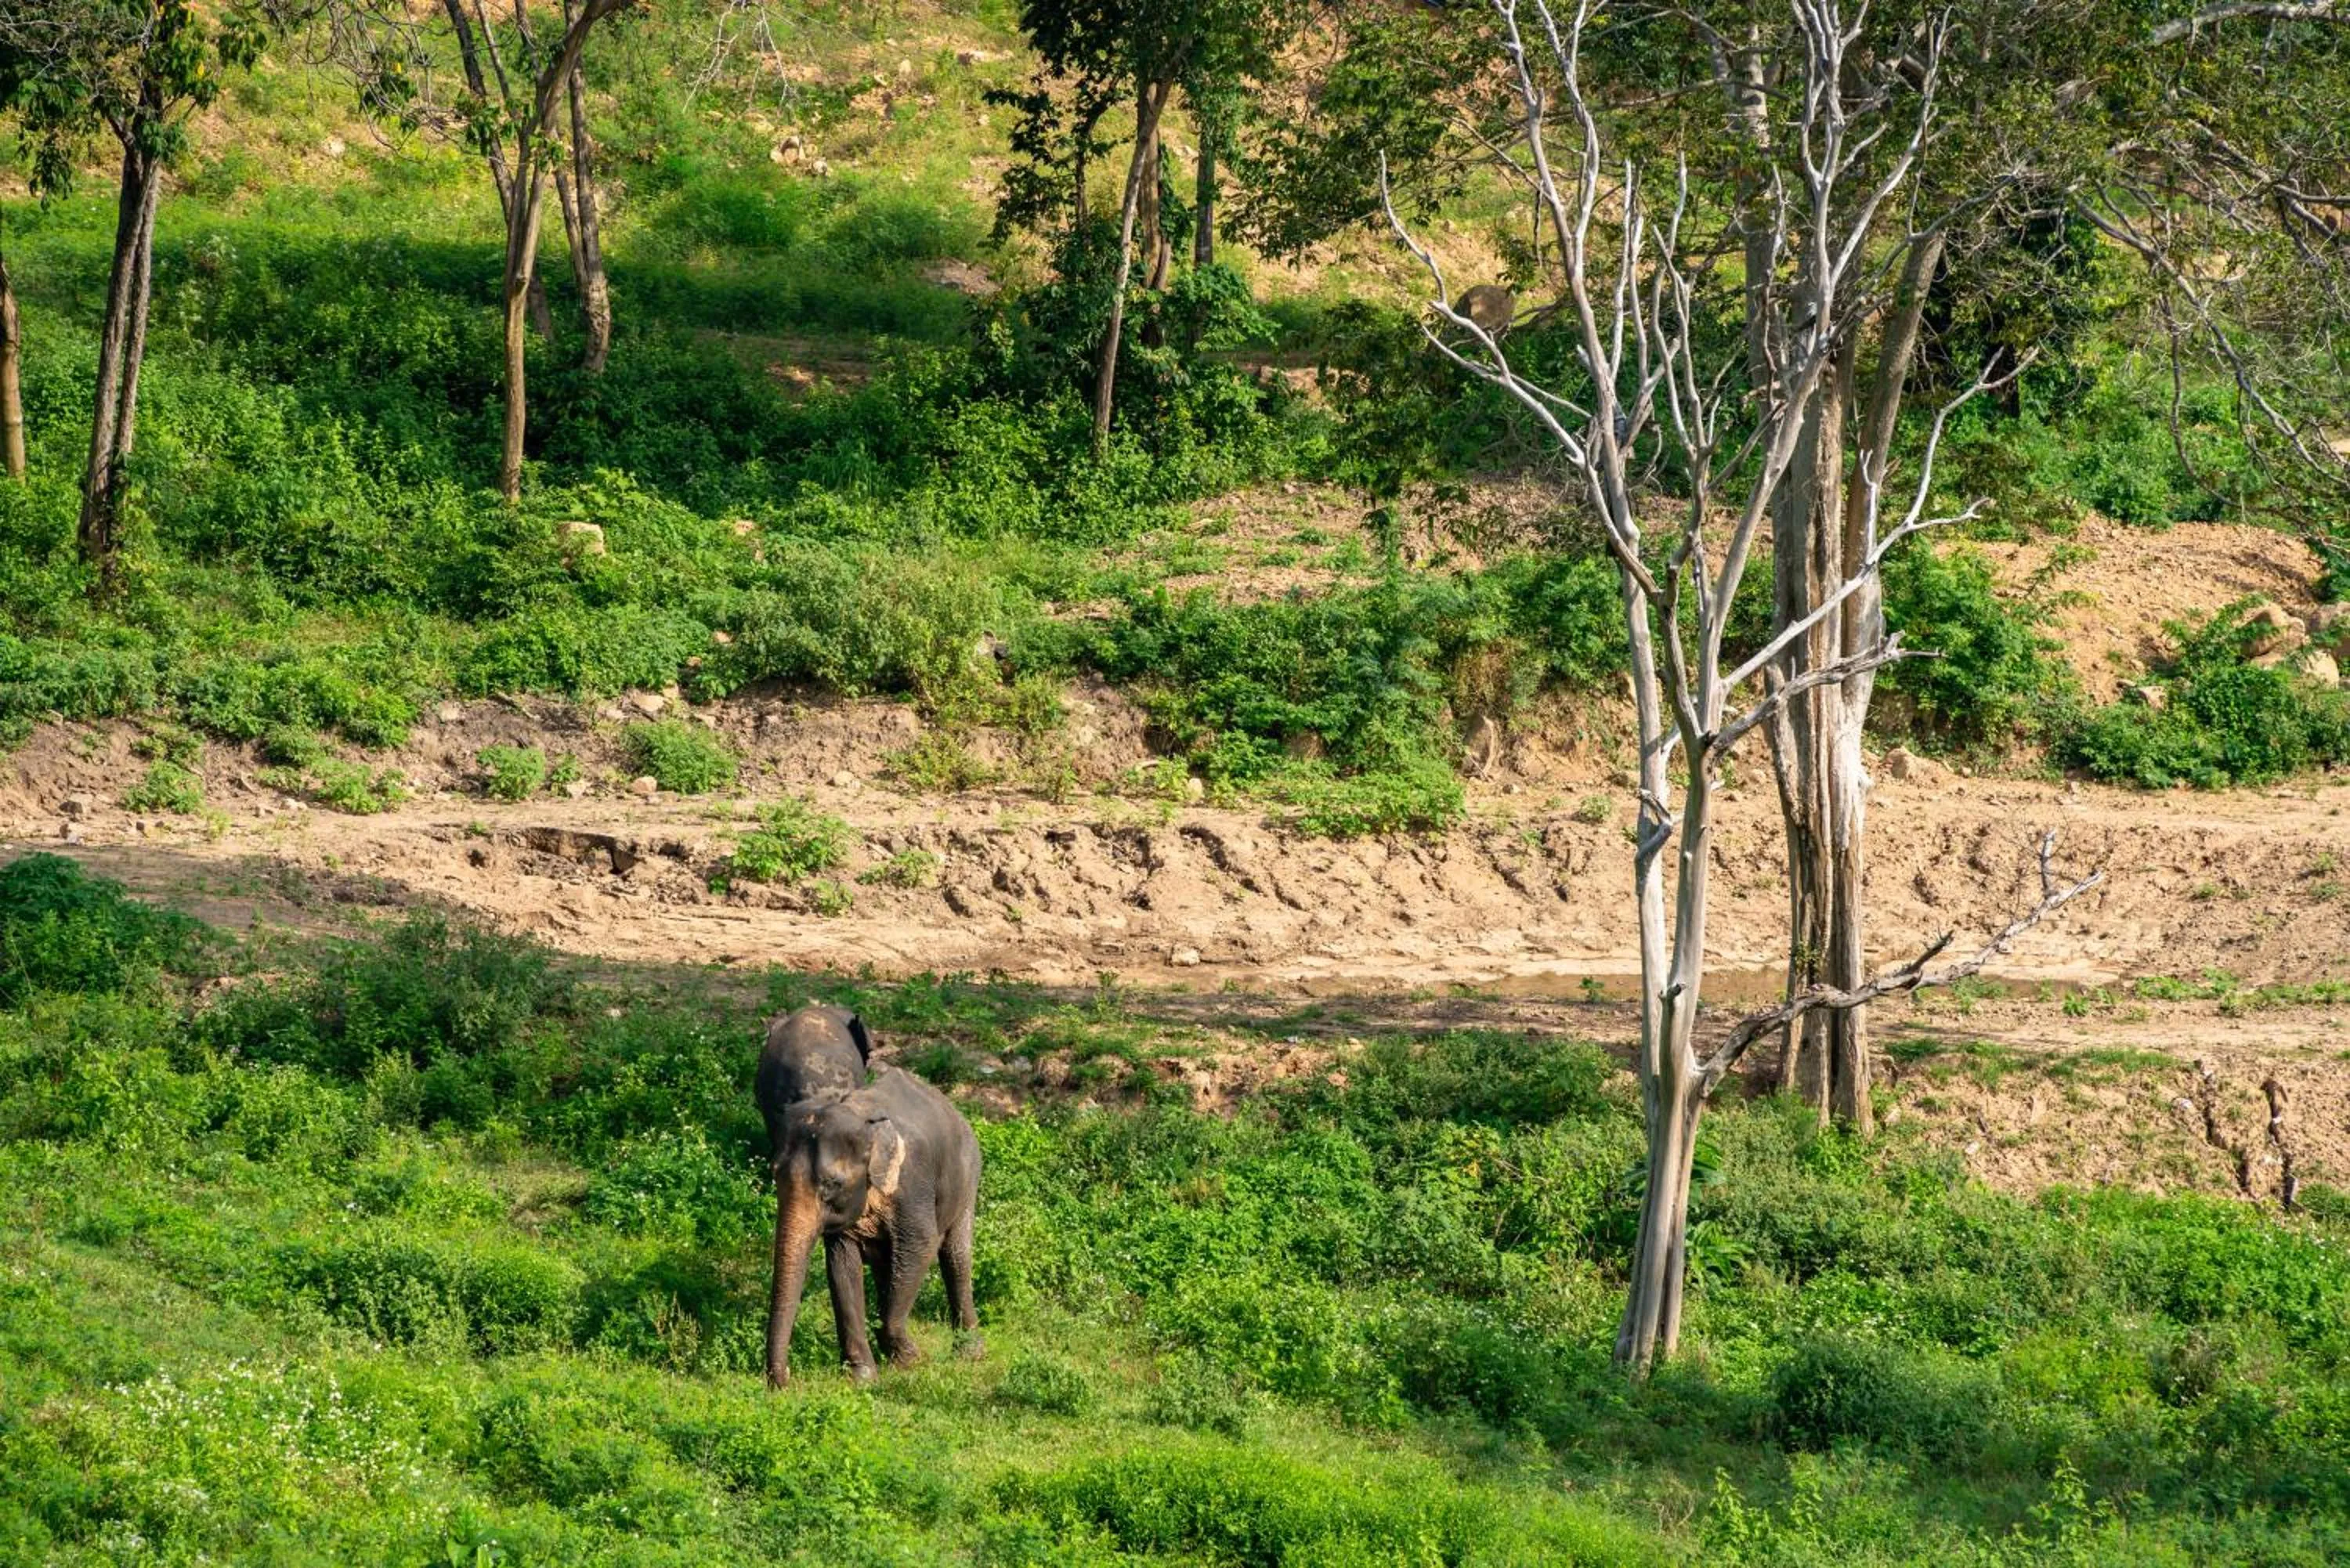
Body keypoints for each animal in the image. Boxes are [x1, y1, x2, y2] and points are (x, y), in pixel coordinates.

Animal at [764, 1062, 982, 1387]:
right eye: (775, 1174)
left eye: (832, 1184)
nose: (785, 1382)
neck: (858, 1114)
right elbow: (842, 1267)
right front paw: (864, 1377)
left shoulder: (911, 1186)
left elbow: (922, 1246)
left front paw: (911, 1359)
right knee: (888, 1268)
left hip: (968, 1179)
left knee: (955, 1256)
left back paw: (970, 1352)